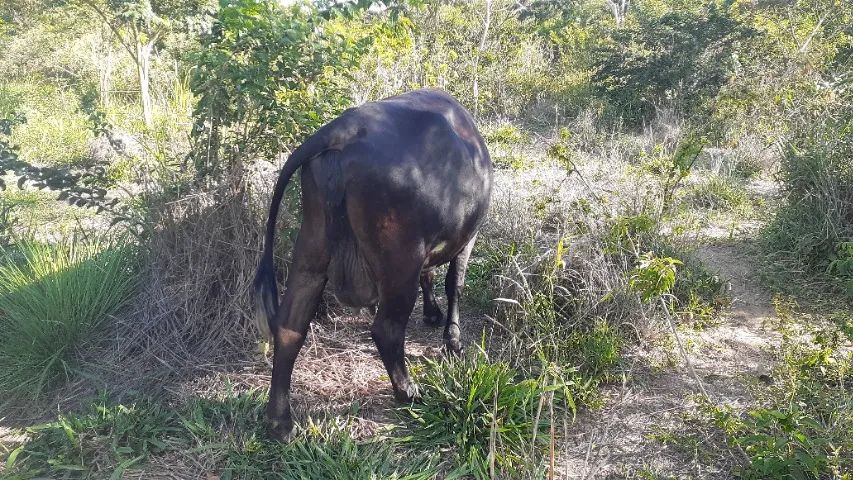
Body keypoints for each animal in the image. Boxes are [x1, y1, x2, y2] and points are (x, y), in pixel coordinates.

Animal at [253, 89, 493, 439]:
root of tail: (342, 130)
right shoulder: (467, 237)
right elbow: (455, 284)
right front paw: (453, 340)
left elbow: (432, 277)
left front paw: (433, 314)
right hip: (400, 264)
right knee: (386, 329)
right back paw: (407, 390)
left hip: (311, 254)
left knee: (289, 328)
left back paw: (279, 420)